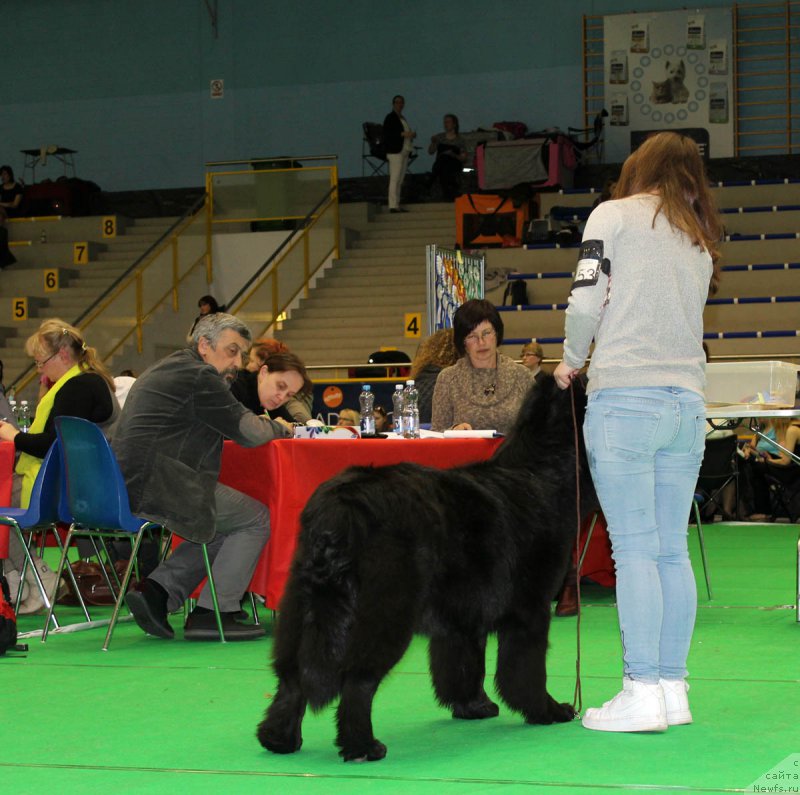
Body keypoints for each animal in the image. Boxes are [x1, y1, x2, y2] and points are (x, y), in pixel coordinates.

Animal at [256, 376, 592, 760]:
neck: (541, 471)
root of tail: (341, 507)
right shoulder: (529, 609)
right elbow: (526, 670)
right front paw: (547, 710)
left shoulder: (462, 616)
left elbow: (463, 664)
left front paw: (472, 706)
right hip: (383, 613)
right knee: (357, 679)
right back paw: (362, 745)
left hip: (302, 606)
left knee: (292, 677)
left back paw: (278, 738)